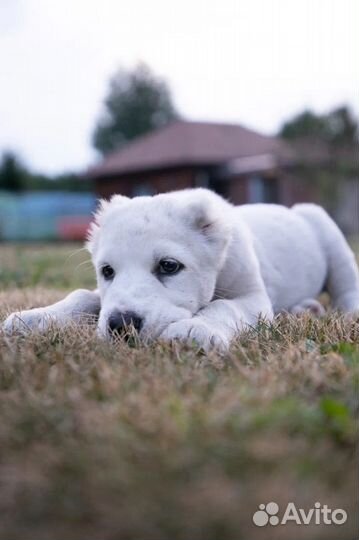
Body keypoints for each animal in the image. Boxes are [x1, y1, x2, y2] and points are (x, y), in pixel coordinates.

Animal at [3, 189, 359, 350]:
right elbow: (83, 297)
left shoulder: (252, 298)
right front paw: (35, 318)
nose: (121, 325)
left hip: (328, 233)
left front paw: (195, 330)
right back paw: (306, 310)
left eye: (169, 266)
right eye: (107, 271)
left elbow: (223, 306)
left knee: (347, 286)